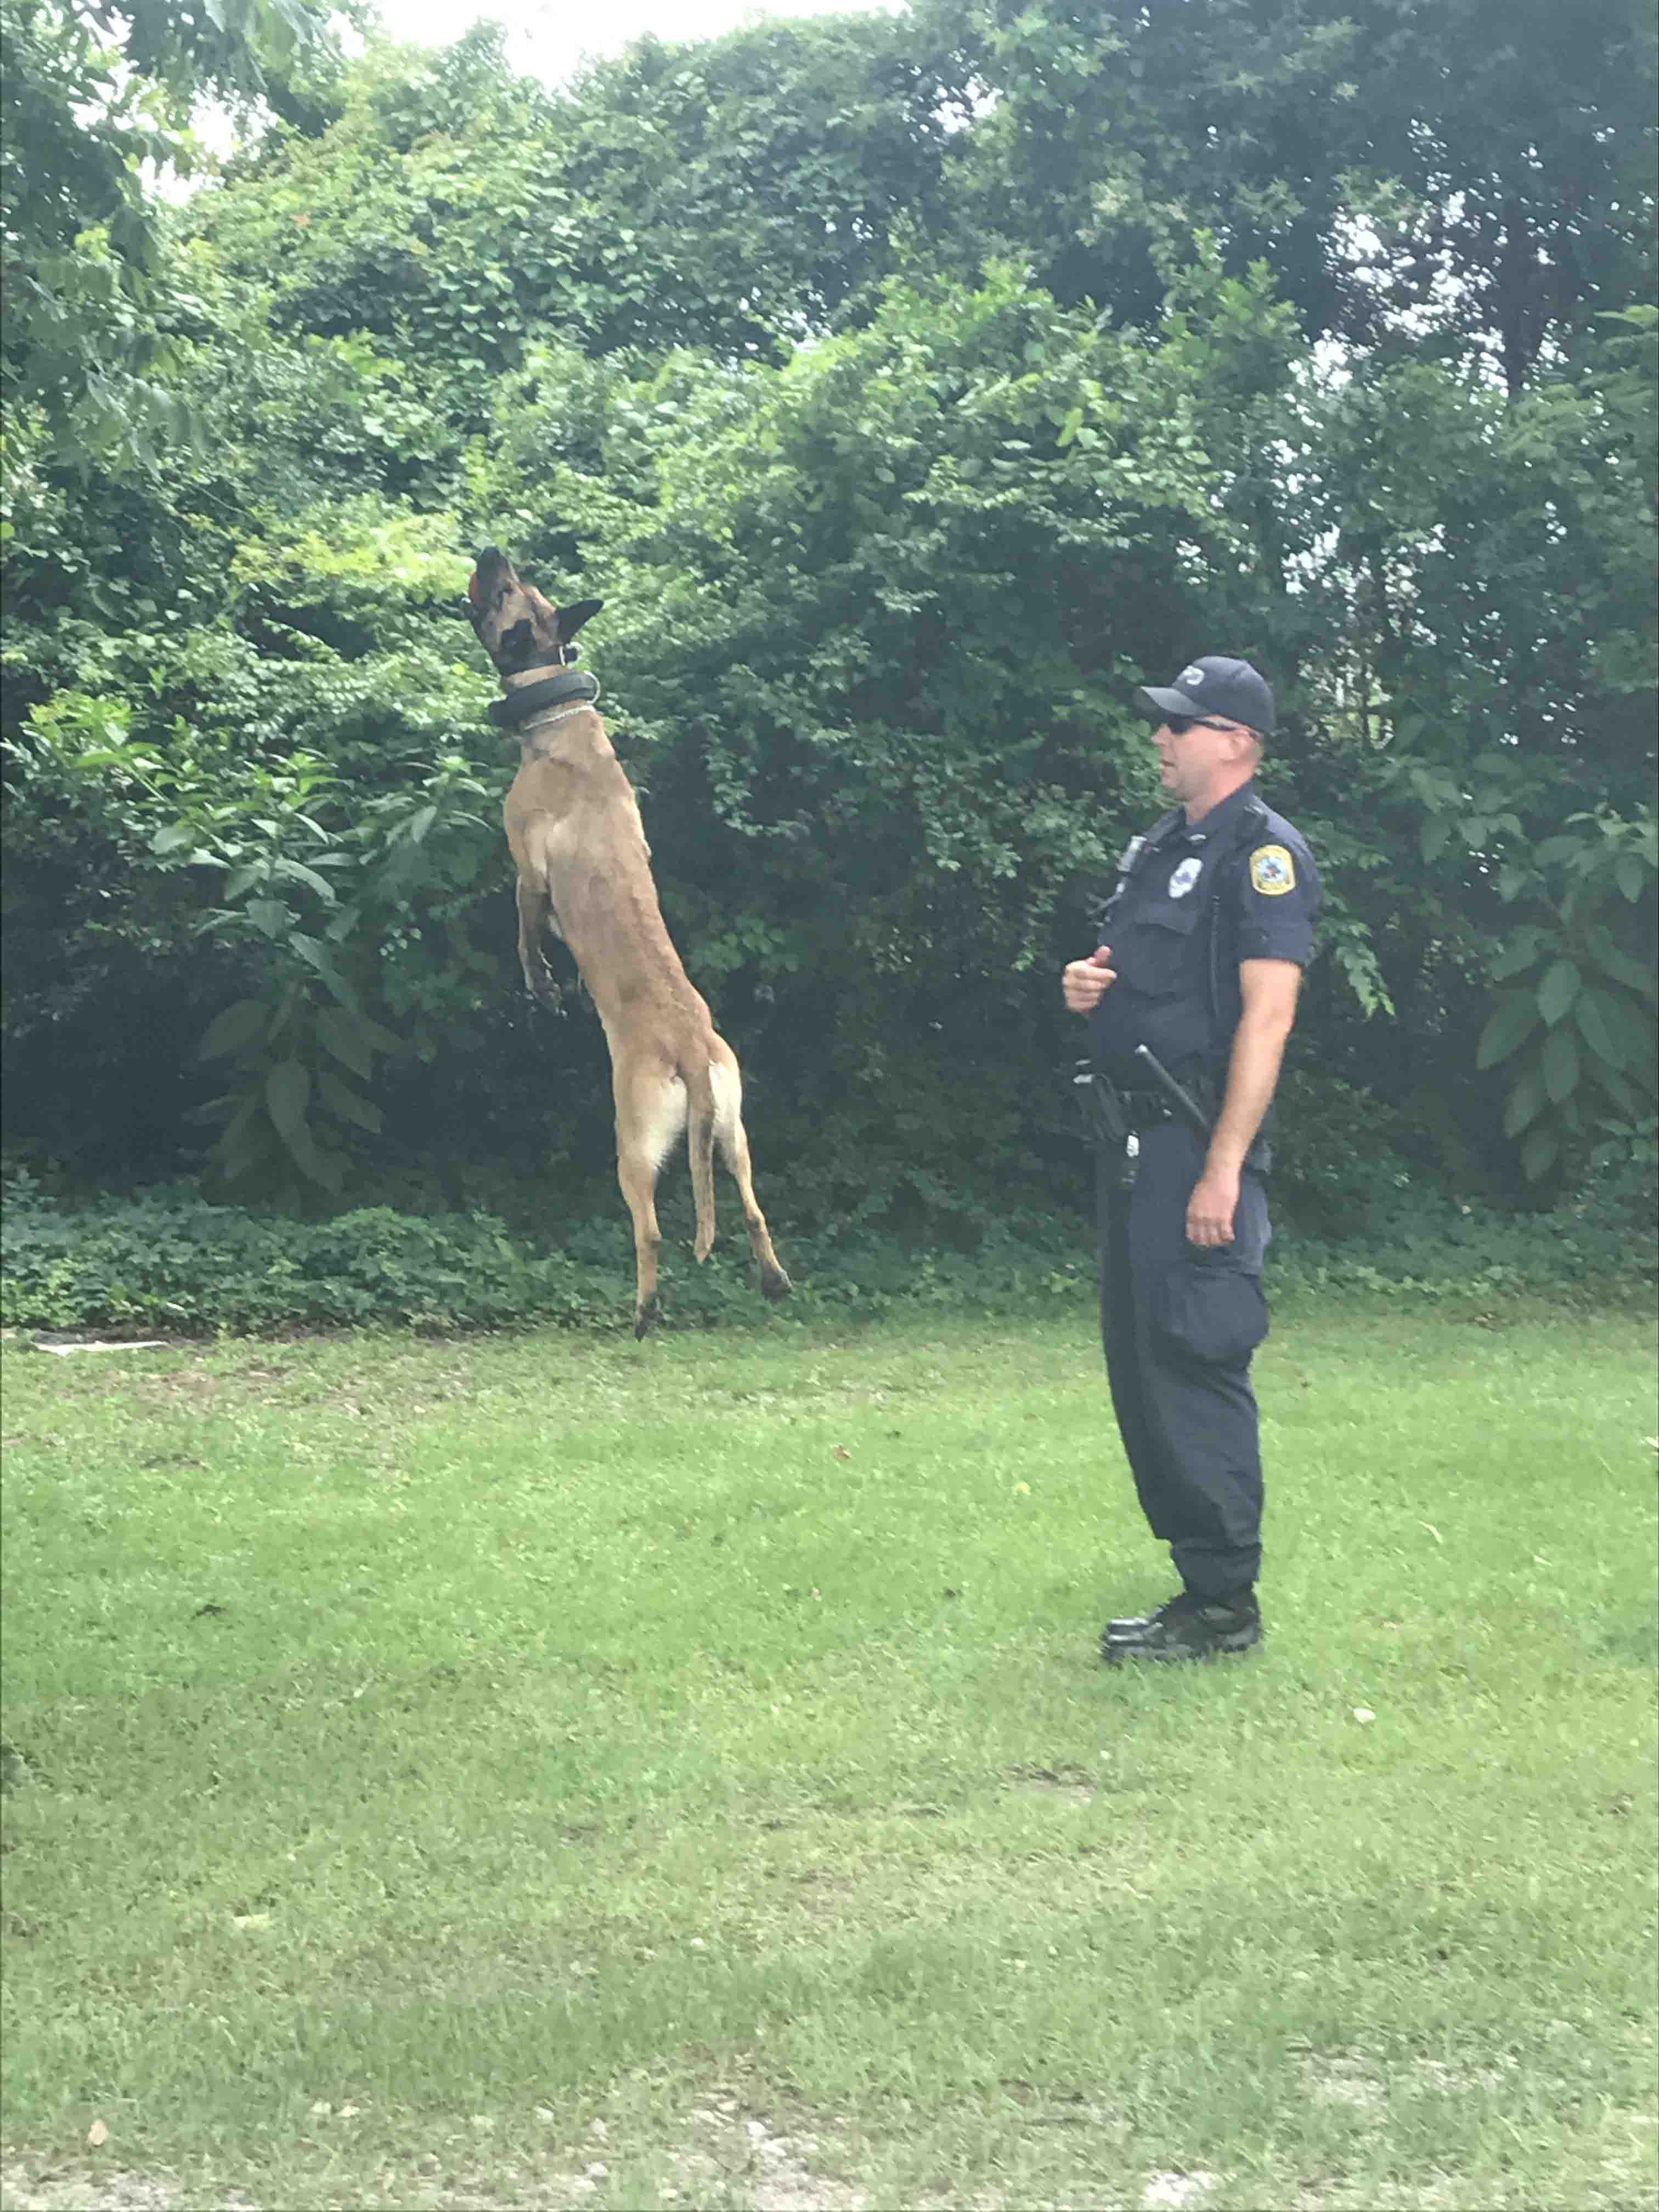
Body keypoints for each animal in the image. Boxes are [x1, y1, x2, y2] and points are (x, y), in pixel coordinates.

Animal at [469, 548, 792, 1327]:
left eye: (505, 591)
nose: (492, 552)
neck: (558, 715)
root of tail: (691, 1051)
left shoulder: (528, 872)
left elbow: (526, 935)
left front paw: (544, 986)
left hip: (633, 1145)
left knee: (648, 1231)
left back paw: (644, 1313)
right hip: (734, 1134)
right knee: (753, 1209)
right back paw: (773, 1281)